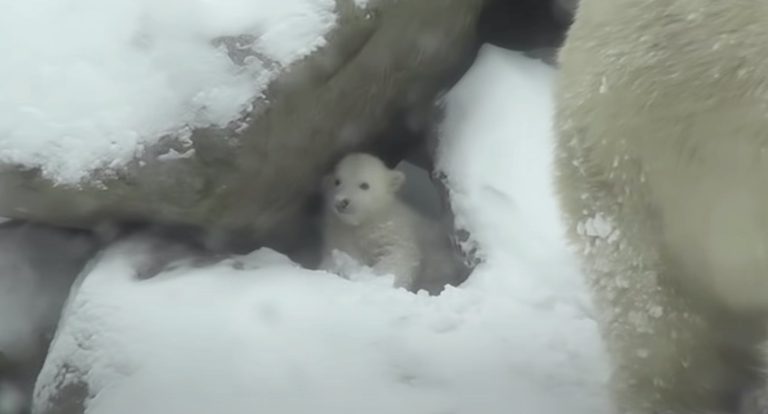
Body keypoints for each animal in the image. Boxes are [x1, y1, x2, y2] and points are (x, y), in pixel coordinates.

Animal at [319, 152, 467, 295]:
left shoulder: (393, 230)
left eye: (364, 185)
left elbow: (398, 255)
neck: (365, 222)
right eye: (337, 181)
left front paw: (376, 279)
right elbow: (344, 251)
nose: (342, 202)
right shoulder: (341, 232)